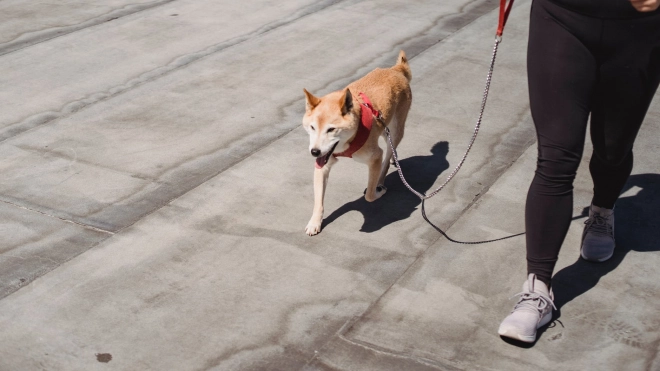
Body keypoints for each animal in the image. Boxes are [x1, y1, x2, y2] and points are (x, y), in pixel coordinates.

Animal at [302, 50, 410, 235]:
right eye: (312, 127)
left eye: (331, 130)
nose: (314, 152)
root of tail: (395, 70)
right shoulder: (323, 164)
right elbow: (318, 201)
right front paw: (315, 222)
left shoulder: (375, 156)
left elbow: (369, 196)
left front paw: (377, 191)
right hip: (385, 129)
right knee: (390, 146)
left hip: (396, 131)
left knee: (387, 156)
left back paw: (381, 181)